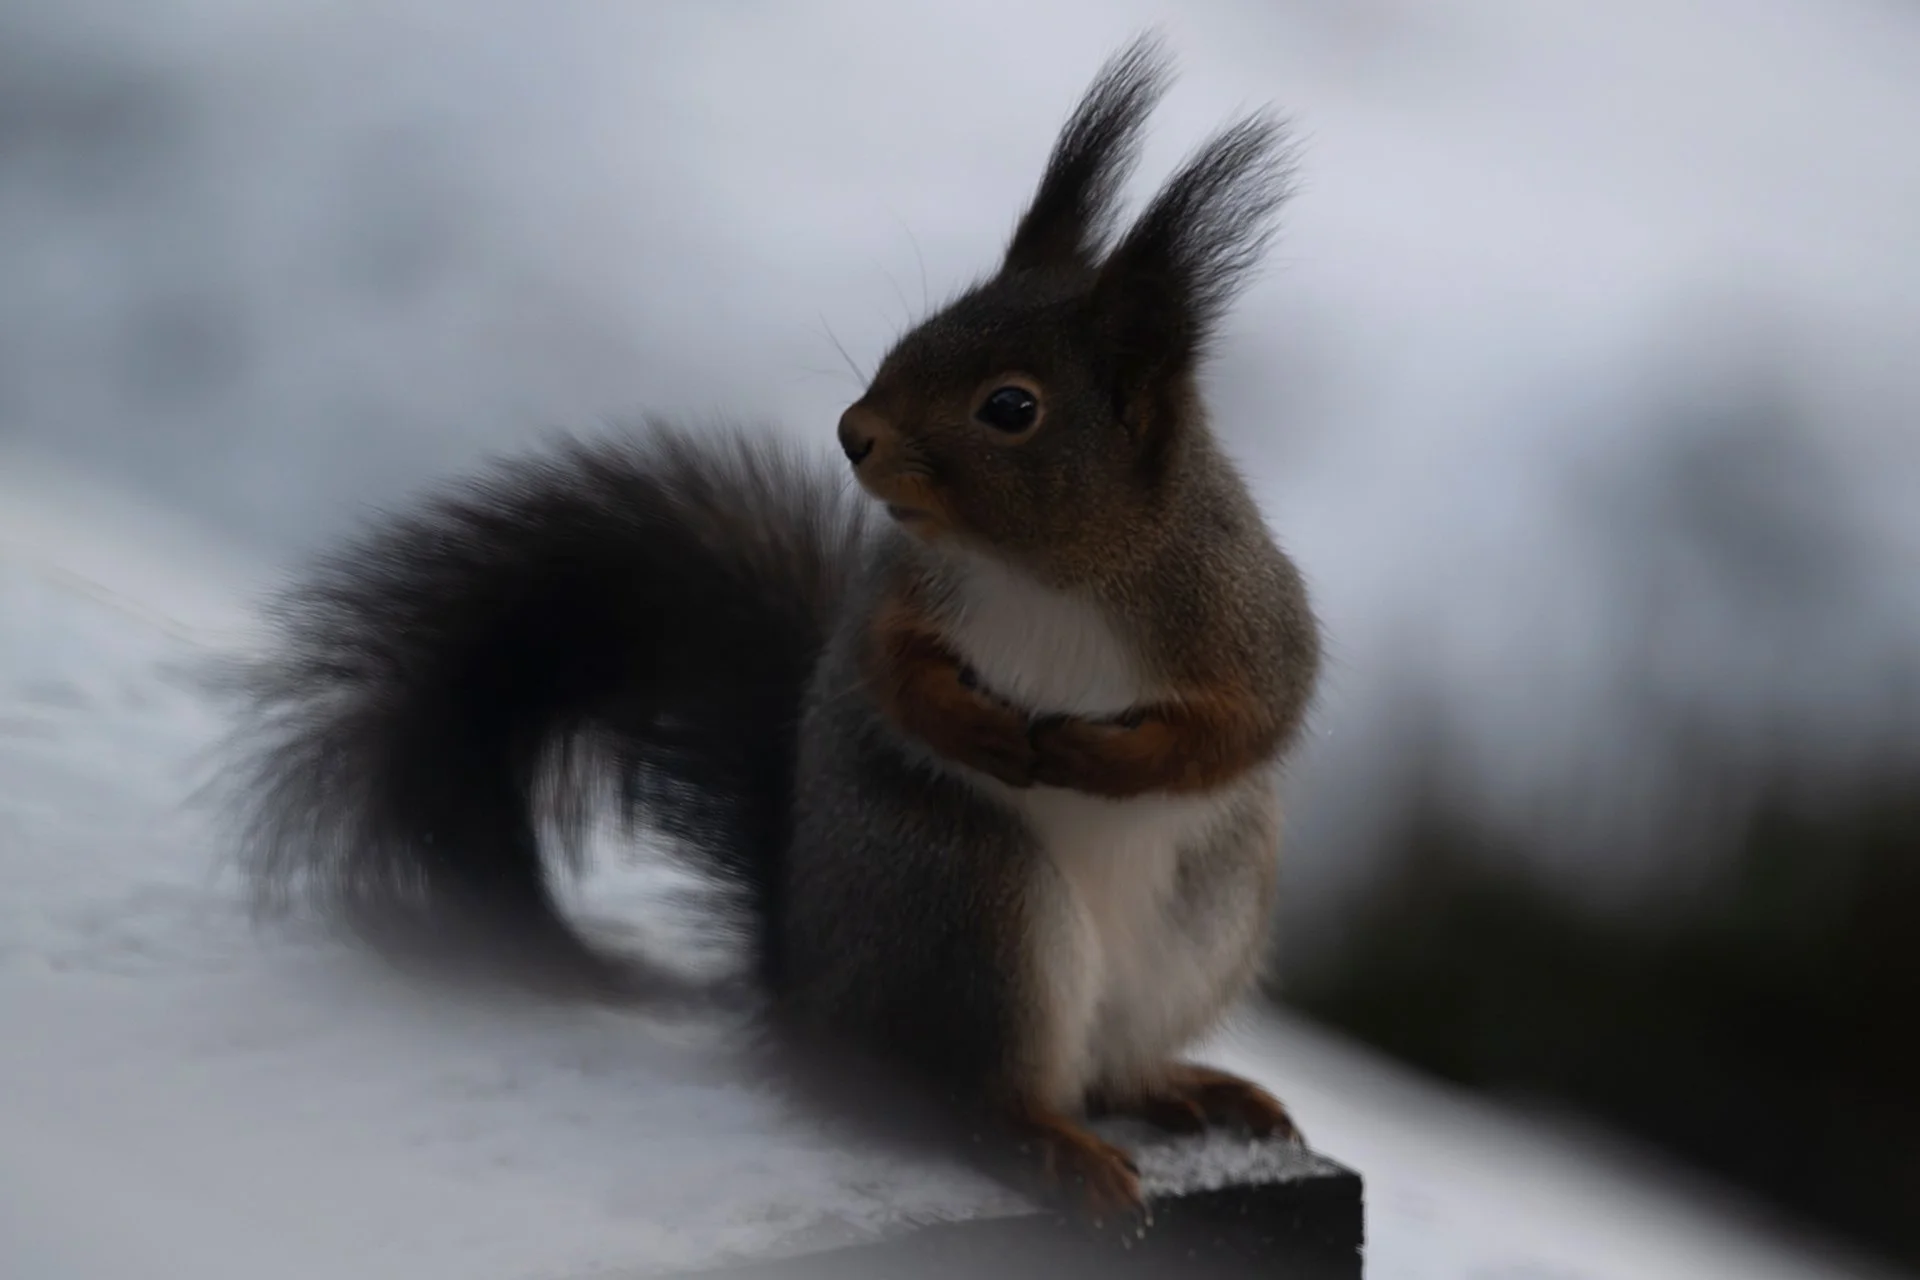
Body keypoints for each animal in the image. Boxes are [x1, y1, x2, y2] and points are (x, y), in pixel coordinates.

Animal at [228, 35, 1321, 1226]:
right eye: (917, 333)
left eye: (1011, 408)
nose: (855, 432)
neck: (1041, 571)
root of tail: (808, 998)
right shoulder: (900, 592)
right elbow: (884, 673)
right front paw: (976, 726)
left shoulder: (1238, 613)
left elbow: (1251, 723)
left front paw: (1098, 756)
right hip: (967, 903)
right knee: (970, 1094)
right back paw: (1046, 1141)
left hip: (1199, 916)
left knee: (1102, 1070)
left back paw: (1179, 1087)